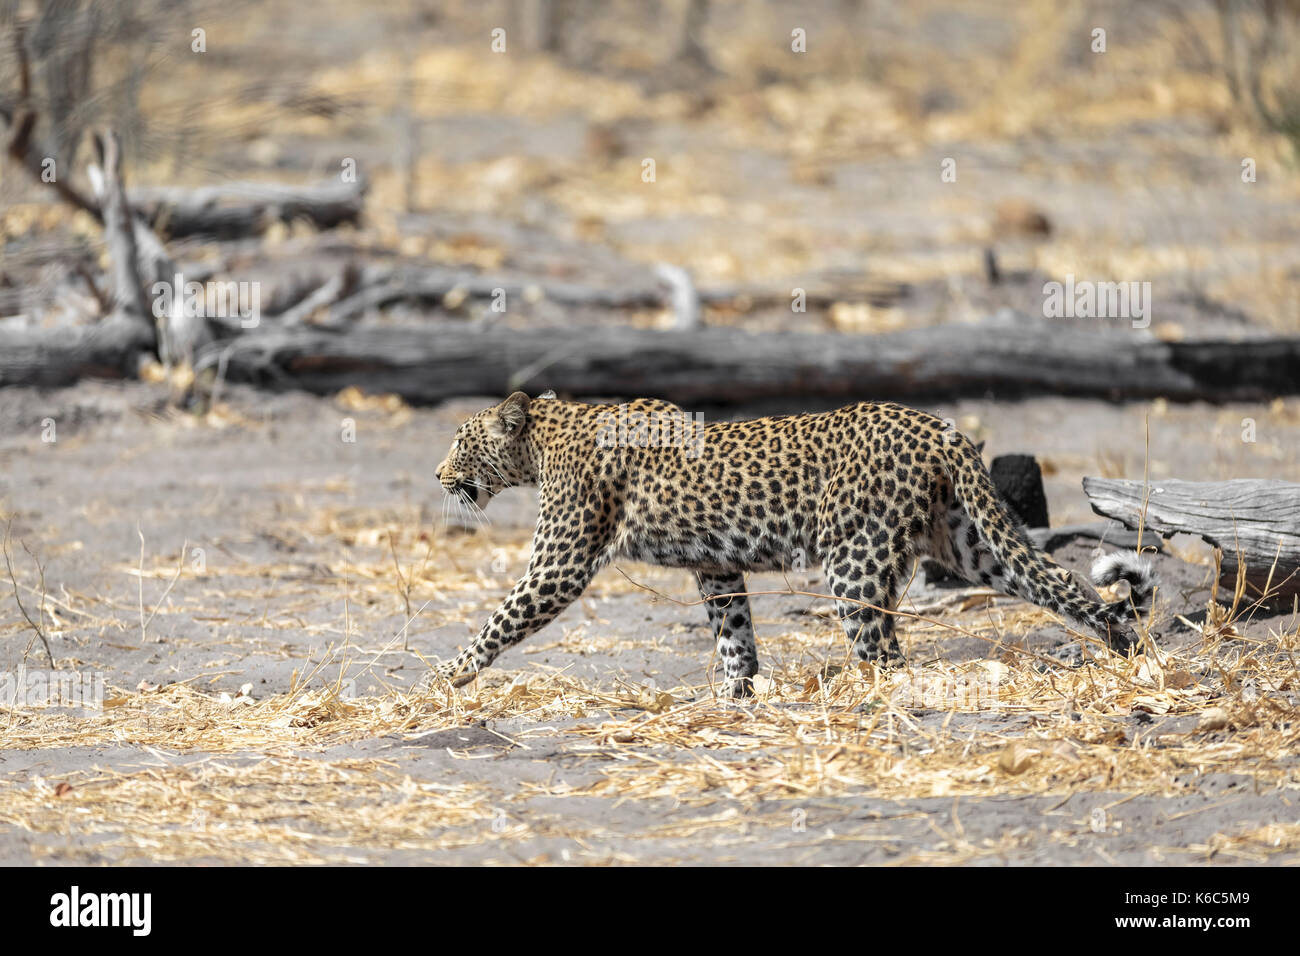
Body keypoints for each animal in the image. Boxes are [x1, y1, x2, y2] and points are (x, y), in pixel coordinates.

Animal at [421, 392, 1154, 697]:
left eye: (459, 441)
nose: (437, 474)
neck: (546, 436)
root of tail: (937, 426)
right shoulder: (716, 566)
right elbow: (733, 633)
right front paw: (736, 694)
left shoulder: (562, 561)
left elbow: (499, 619)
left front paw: (443, 679)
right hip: (970, 542)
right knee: (1060, 584)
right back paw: (1129, 651)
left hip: (856, 559)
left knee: (886, 654)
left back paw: (858, 701)